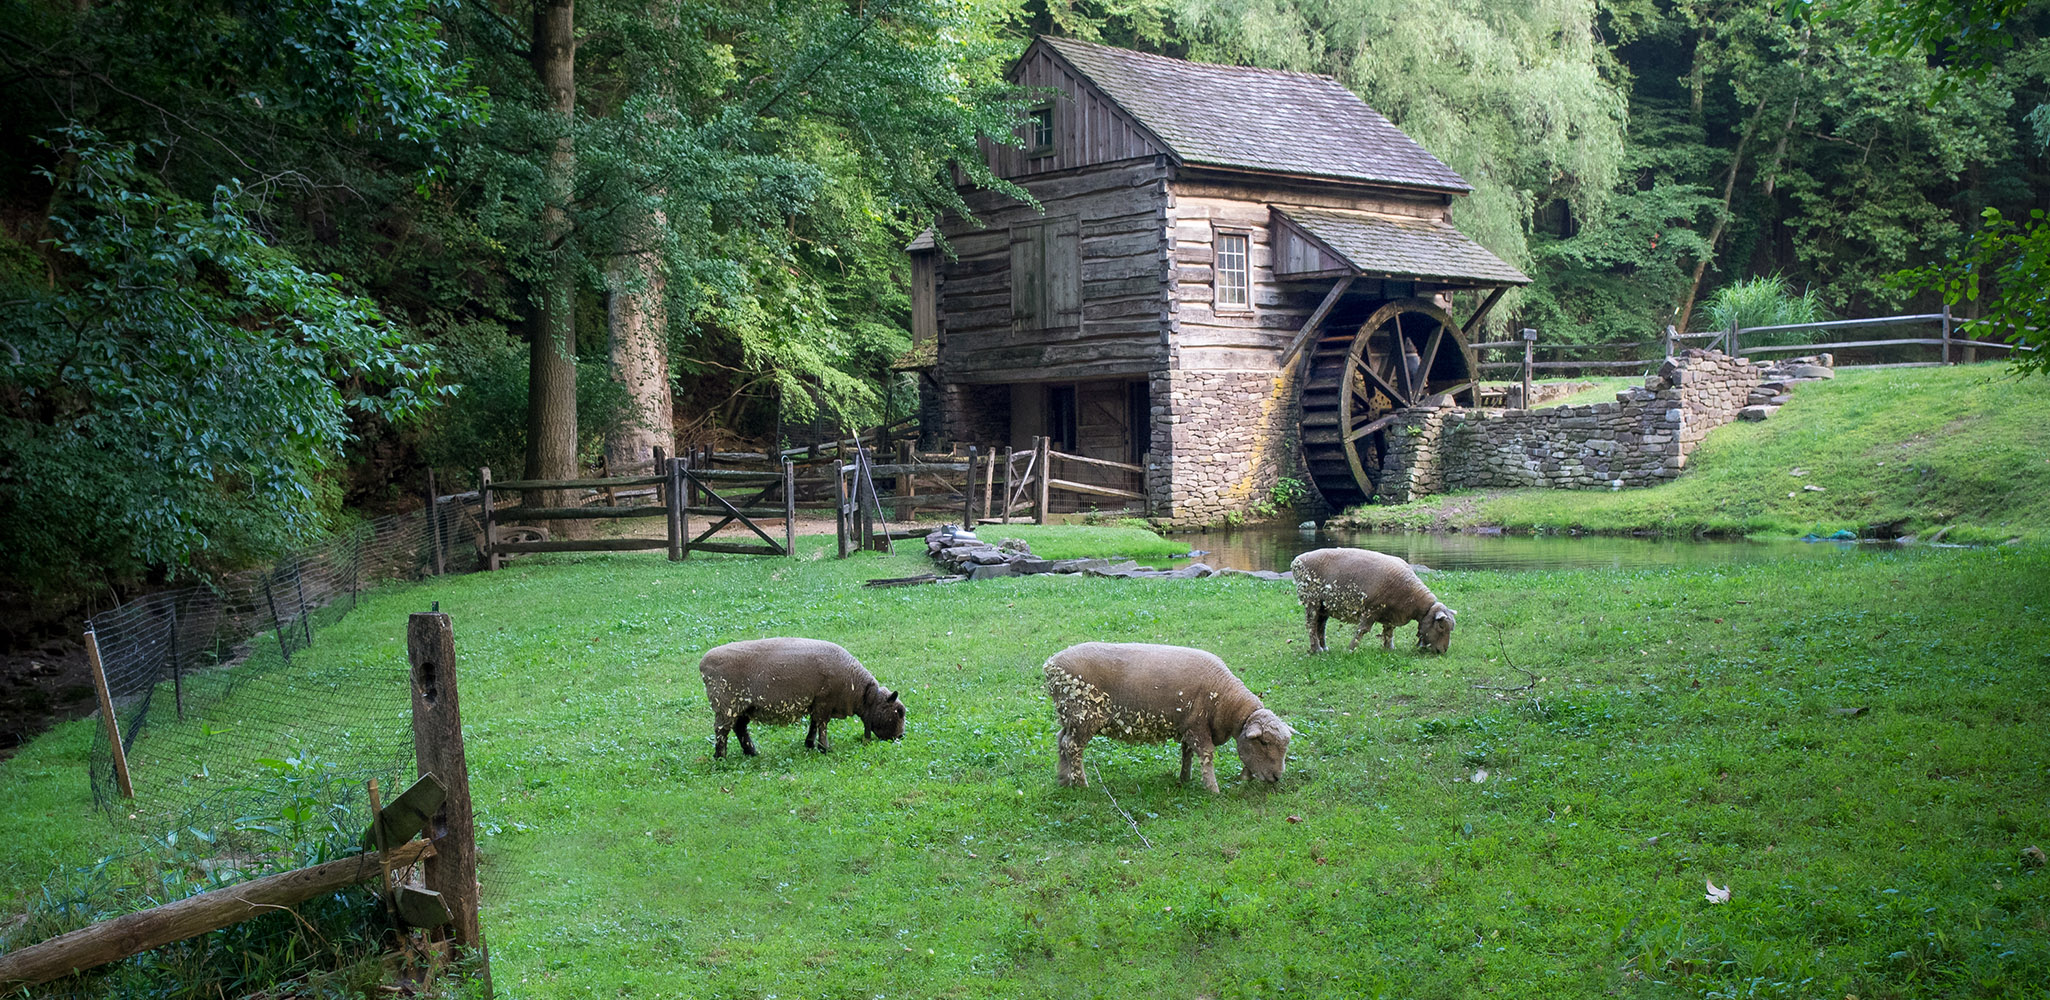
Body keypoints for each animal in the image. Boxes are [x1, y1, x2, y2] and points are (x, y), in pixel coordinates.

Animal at [697, 639, 906, 758]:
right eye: (899, 712)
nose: (901, 737)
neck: (858, 689)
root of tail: (703, 665)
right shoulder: (824, 702)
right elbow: (822, 725)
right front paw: (825, 748)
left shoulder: (816, 702)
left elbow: (813, 724)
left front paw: (810, 744)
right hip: (726, 705)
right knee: (722, 731)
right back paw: (720, 757)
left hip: (743, 707)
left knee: (739, 728)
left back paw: (751, 752)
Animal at [1049, 643, 1287, 790]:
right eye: (1264, 743)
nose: (1277, 777)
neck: (1225, 699)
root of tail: (1050, 666)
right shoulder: (1198, 726)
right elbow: (1207, 755)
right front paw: (1212, 789)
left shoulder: (1188, 725)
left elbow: (1187, 752)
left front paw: (1185, 778)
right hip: (1082, 716)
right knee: (1072, 746)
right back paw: (1082, 784)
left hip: (1069, 716)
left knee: (1061, 740)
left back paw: (1064, 779)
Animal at [1287, 545, 1451, 655]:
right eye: (1441, 626)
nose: (1443, 651)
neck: (1413, 598)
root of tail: (1297, 561)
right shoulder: (1372, 609)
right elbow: (1362, 630)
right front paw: (1351, 649)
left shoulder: (1390, 613)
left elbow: (1389, 632)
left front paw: (1389, 649)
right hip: (1311, 600)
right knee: (1311, 625)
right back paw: (1316, 650)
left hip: (1324, 605)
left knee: (1320, 625)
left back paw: (1324, 648)